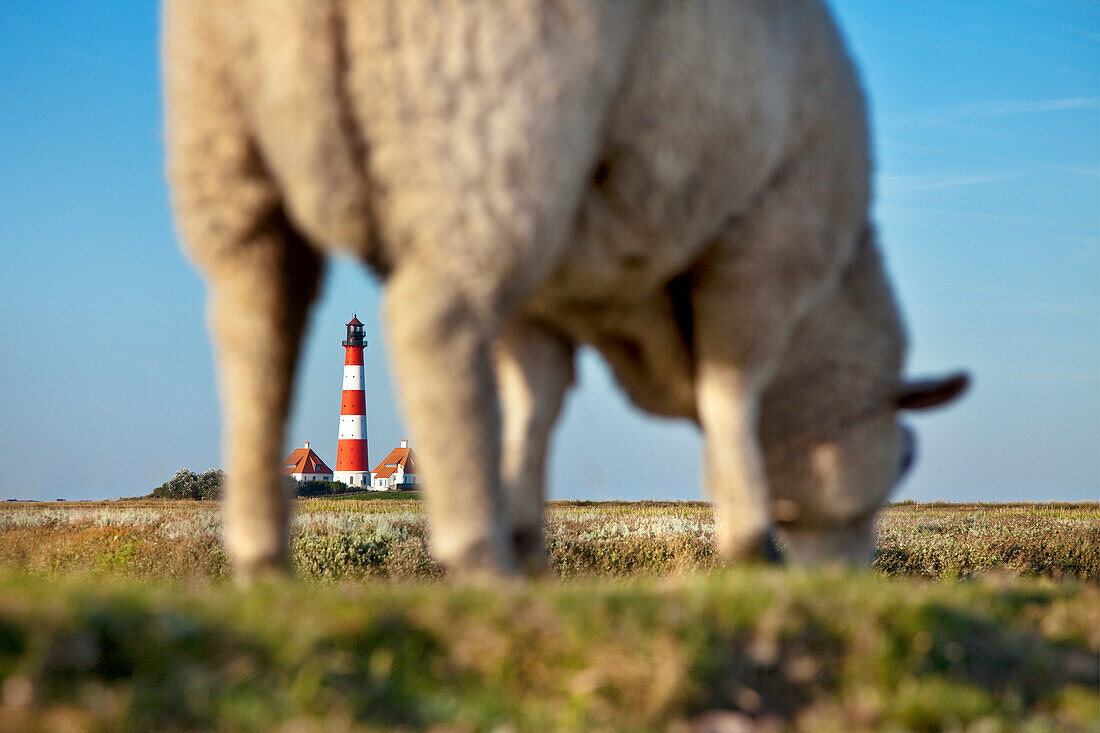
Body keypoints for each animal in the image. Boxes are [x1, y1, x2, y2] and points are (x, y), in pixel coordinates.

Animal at [162, 1, 963, 581]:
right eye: (901, 460)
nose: (846, 582)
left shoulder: (544, 300)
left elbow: (535, 403)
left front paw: (528, 534)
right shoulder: (761, 255)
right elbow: (729, 393)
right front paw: (746, 543)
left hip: (229, 156)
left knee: (254, 338)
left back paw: (263, 560)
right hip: (491, 146)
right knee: (432, 328)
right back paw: (477, 558)